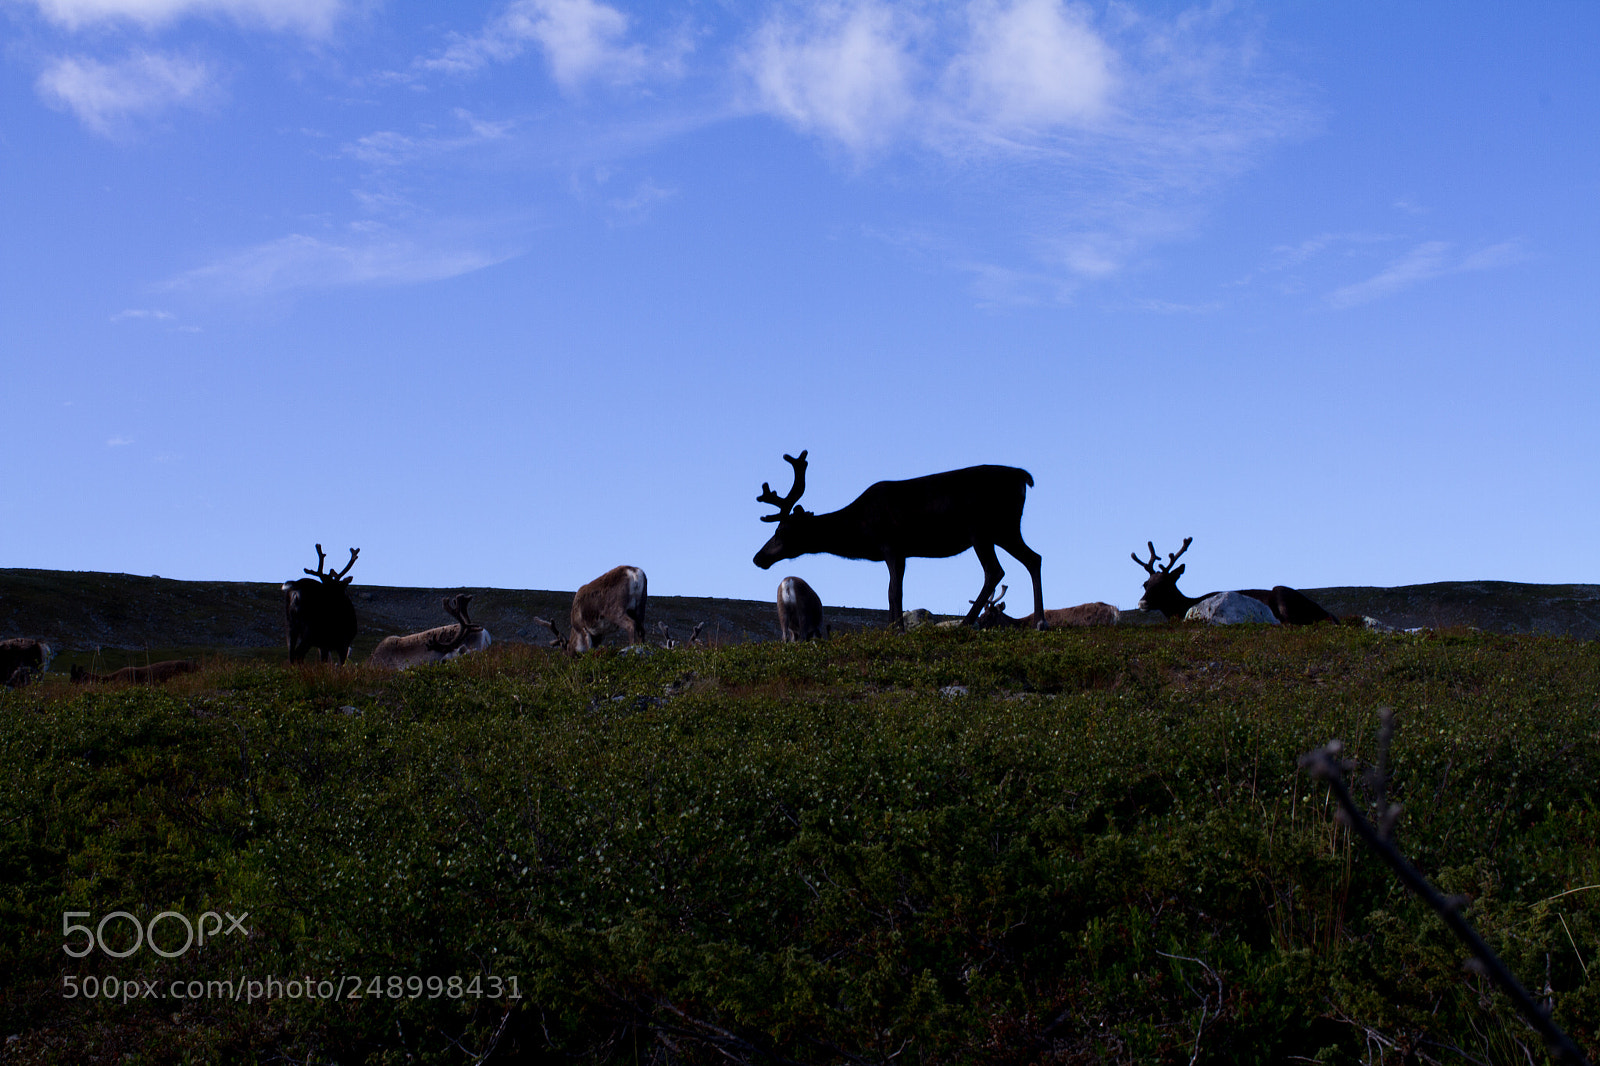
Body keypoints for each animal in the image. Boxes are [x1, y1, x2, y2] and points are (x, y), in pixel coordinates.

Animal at [752, 450, 1045, 631]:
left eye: (781, 532)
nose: (758, 558)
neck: (860, 530)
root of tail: (1023, 477)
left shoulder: (892, 546)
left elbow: (894, 592)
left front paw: (897, 630)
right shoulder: (897, 552)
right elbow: (891, 593)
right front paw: (893, 628)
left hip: (982, 531)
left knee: (995, 571)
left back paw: (965, 624)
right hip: (1006, 530)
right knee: (1034, 558)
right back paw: (1040, 621)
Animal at [1132, 537, 1339, 625]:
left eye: (1164, 585)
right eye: (1145, 584)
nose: (1142, 603)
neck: (1184, 607)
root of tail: (1327, 612)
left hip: (1282, 593)